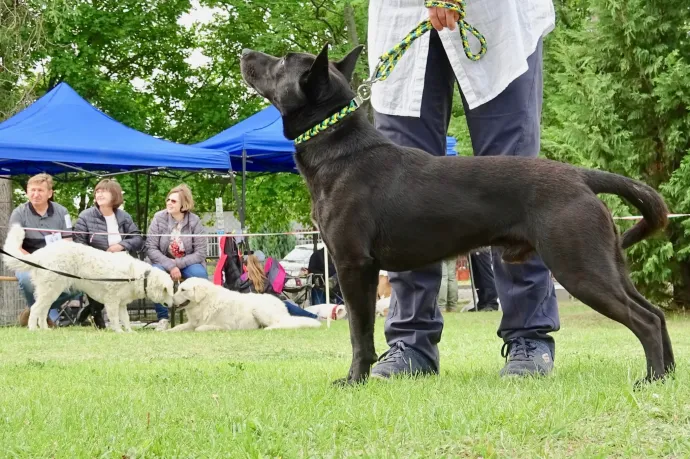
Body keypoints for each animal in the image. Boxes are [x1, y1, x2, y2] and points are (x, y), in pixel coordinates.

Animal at [3, 225, 175, 332]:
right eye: (168, 291)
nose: (174, 304)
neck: (138, 276)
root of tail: (40, 254)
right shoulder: (112, 301)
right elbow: (114, 318)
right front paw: (119, 331)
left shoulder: (121, 304)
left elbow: (125, 318)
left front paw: (129, 332)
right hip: (51, 290)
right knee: (35, 309)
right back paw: (33, 329)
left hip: (51, 292)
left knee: (43, 310)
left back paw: (45, 329)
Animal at [171, 276, 324, 330]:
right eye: (178, 288)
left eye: (183, 290)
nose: (171, 300)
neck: (205, 303)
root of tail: (281, 302)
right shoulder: (191, 323)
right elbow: (177, 328)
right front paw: (167, 331)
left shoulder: (224, 326)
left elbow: (199, 328)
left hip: (260, 311)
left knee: (280, 325)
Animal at [239, 44, 676, 388]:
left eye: (283, 62)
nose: (244, 53)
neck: (340, 148)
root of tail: (580, 175)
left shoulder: (352, 265)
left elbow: (359, 334)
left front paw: (354, 380)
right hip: (606, 264)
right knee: (655, 313)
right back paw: (668, 375)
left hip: (579, 267)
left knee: (644, 320)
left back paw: (651, 378)